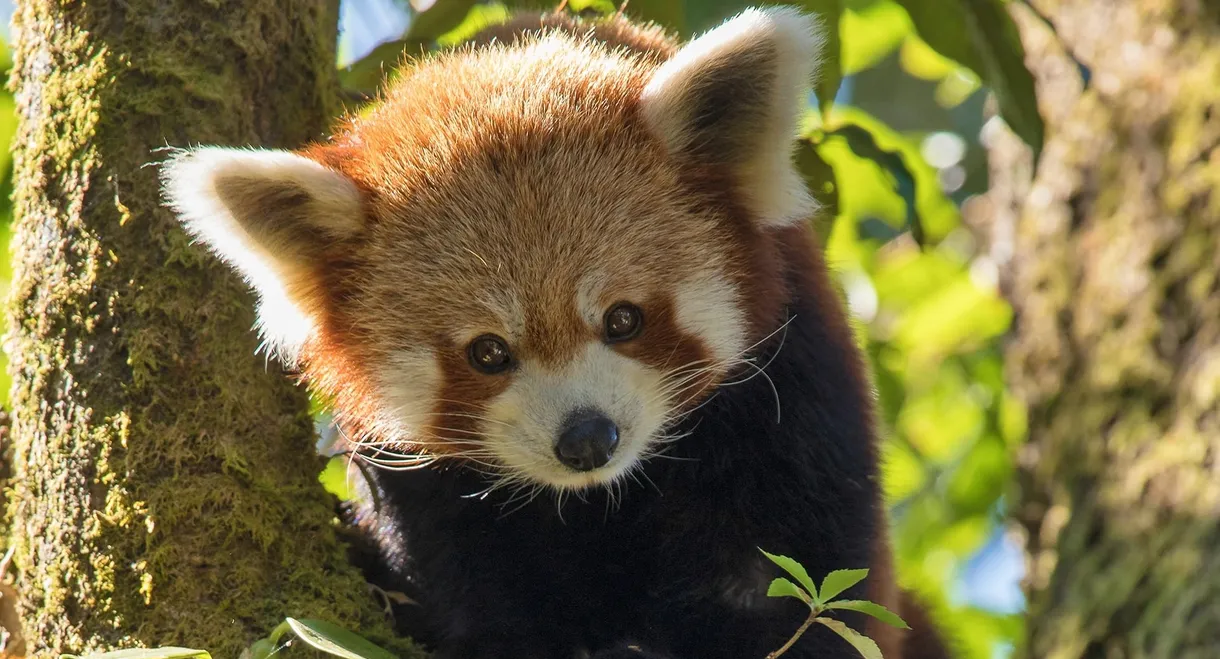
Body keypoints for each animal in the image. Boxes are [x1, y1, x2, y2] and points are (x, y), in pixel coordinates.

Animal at [159, 6, 951, 659]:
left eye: (624, 319)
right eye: (488, 352)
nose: (587, 439)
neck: (601, 499)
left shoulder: (792, 397)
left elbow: (795, 584)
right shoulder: (426, 497)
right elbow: (473, 594)